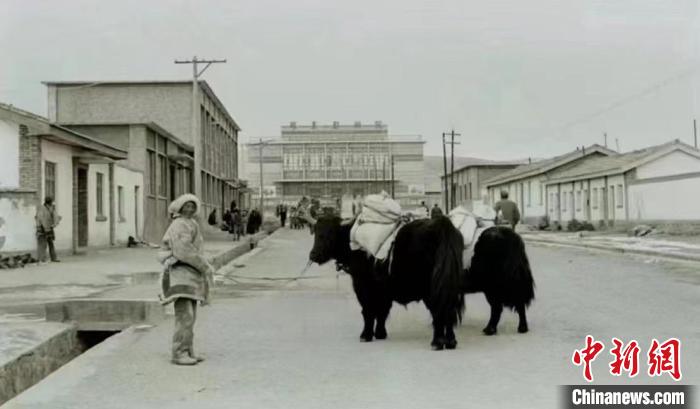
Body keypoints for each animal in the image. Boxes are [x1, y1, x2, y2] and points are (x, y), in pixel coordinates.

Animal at [307, 214, 465, 351]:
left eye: (328, 234)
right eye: (316, 232)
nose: (313, 255)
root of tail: (441, 225)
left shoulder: (363, 286)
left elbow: (368, 311)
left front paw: (365, 335)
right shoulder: (384, 291)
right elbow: (382, 311)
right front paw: (380, 333)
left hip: (431, 289)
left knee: (439, 311)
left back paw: (437, 342)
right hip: (450, 286)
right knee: (449, 311)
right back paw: (451, 341)